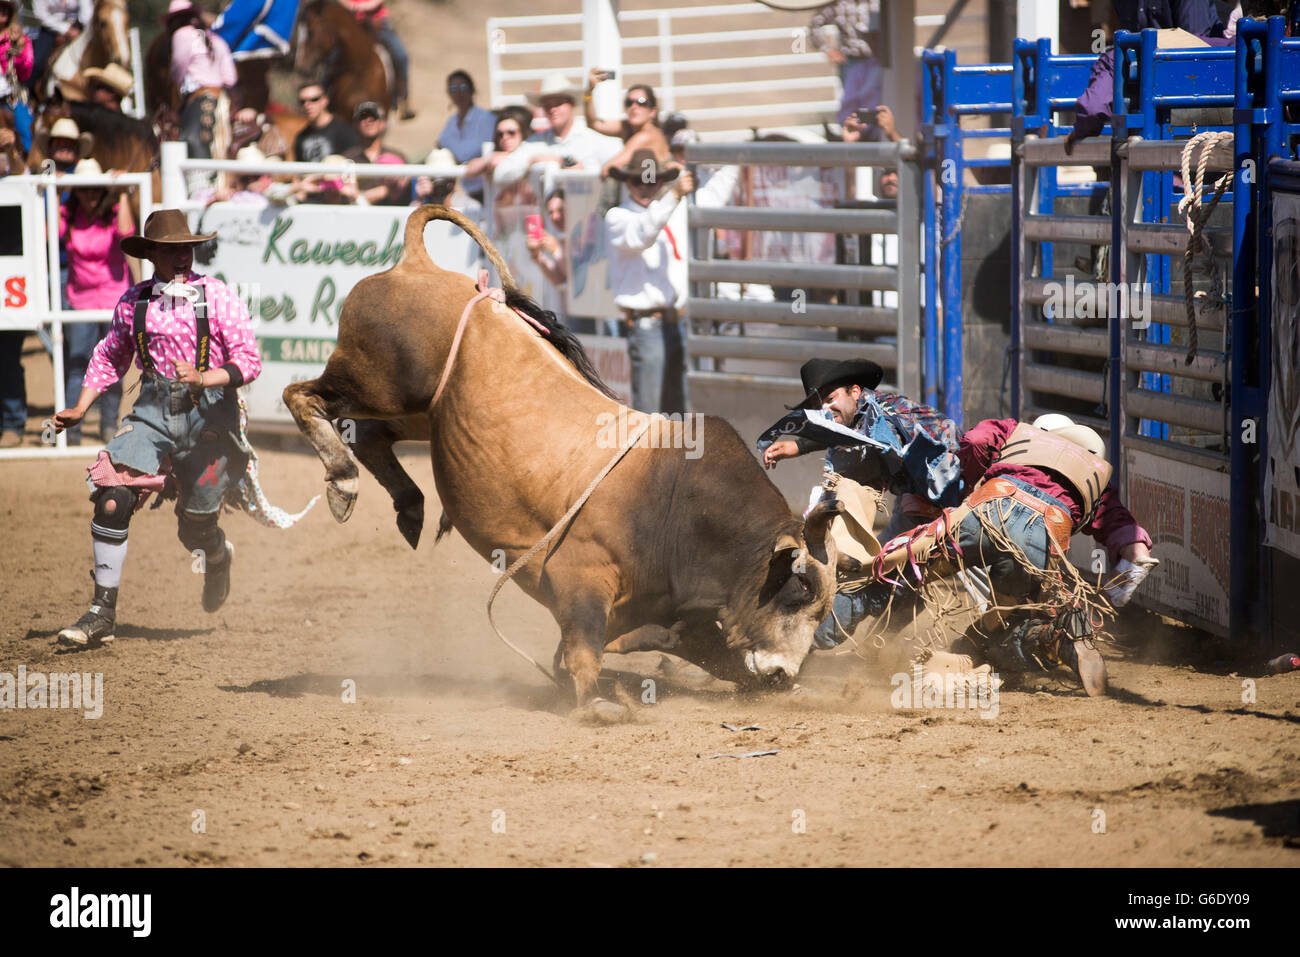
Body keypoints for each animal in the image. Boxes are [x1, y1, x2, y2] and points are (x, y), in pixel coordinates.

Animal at [282, 210, 842, 717]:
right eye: (797, 591)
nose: (782, 673)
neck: (675, 502)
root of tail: (417, 265)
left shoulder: (673, 611)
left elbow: (701, 651)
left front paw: (805, 692)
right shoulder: (581, 581)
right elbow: (583, 646)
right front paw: (596, 702)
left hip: (418, 414)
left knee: (369, 435)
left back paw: (409, 504)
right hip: (375, 381)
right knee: (303, 396)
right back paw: (343, 482)